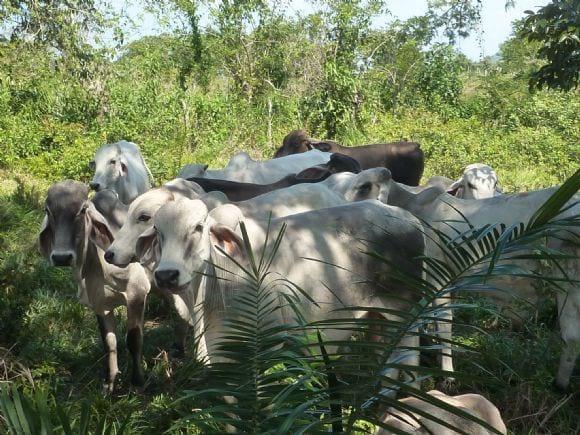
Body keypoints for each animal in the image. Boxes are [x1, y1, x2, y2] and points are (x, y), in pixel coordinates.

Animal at [38, 181, 151, 392]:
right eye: (48, 210)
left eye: (82, 210)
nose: (62, 257)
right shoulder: (100, 303)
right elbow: (109, 343)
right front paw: (110, 382)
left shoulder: (137, 293)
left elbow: (134, 340)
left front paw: (138, 382)